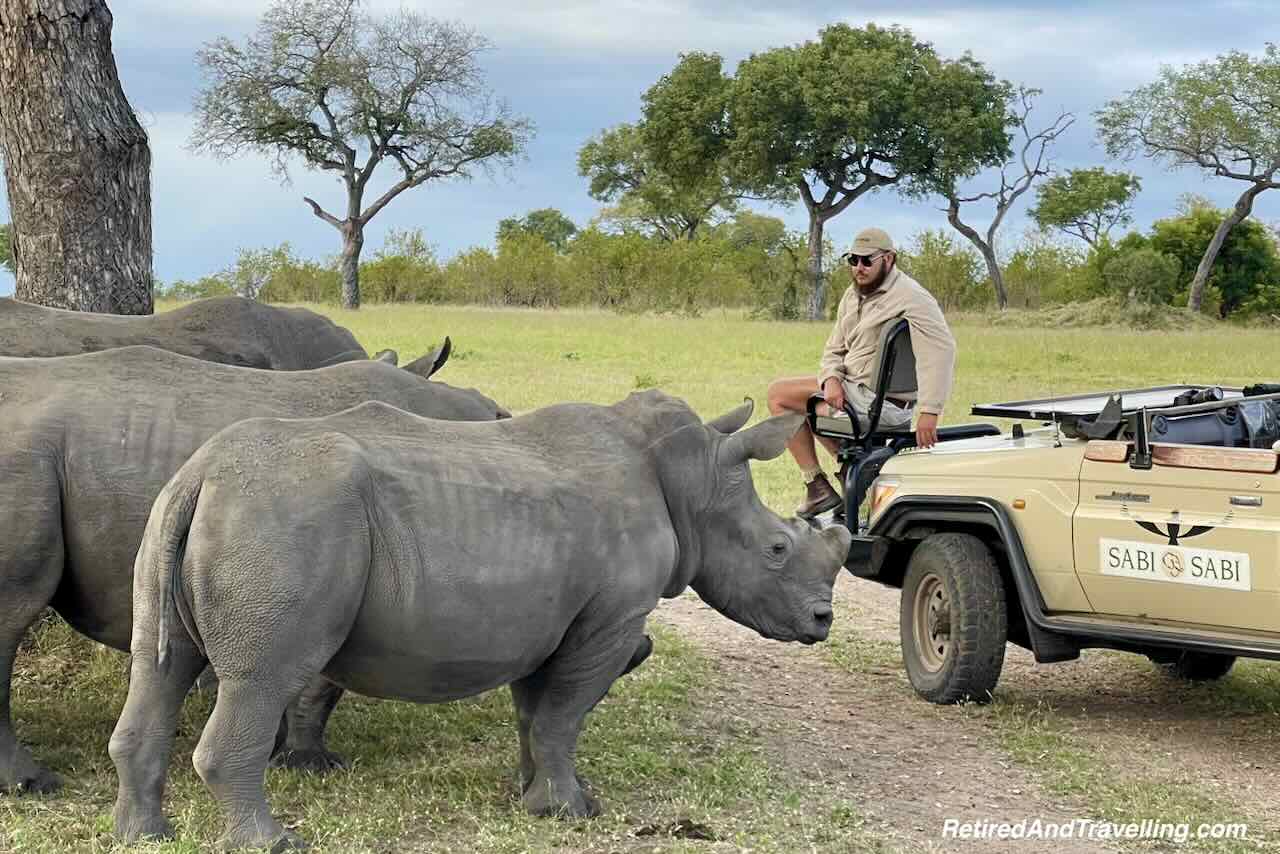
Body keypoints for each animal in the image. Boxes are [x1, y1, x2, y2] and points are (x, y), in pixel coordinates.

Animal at [0, 343, 509, 793]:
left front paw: (282, 751)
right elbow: (320, 683)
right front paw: (309, 762)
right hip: (25, 463)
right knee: (14, 612)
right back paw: (33, 783)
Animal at [110, 391, 849, 850]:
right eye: (777, 549)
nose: (822, 621)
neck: (692, 482)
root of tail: (202, 474)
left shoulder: (543, 618)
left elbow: (538, 714)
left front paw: (538, 796)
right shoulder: (609, 620)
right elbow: (563, 714)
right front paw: (569, 812)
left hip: (190, 515)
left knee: (162, 666)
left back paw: (145, 835)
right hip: (284, 521)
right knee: (263, 680)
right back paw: (275, 843)